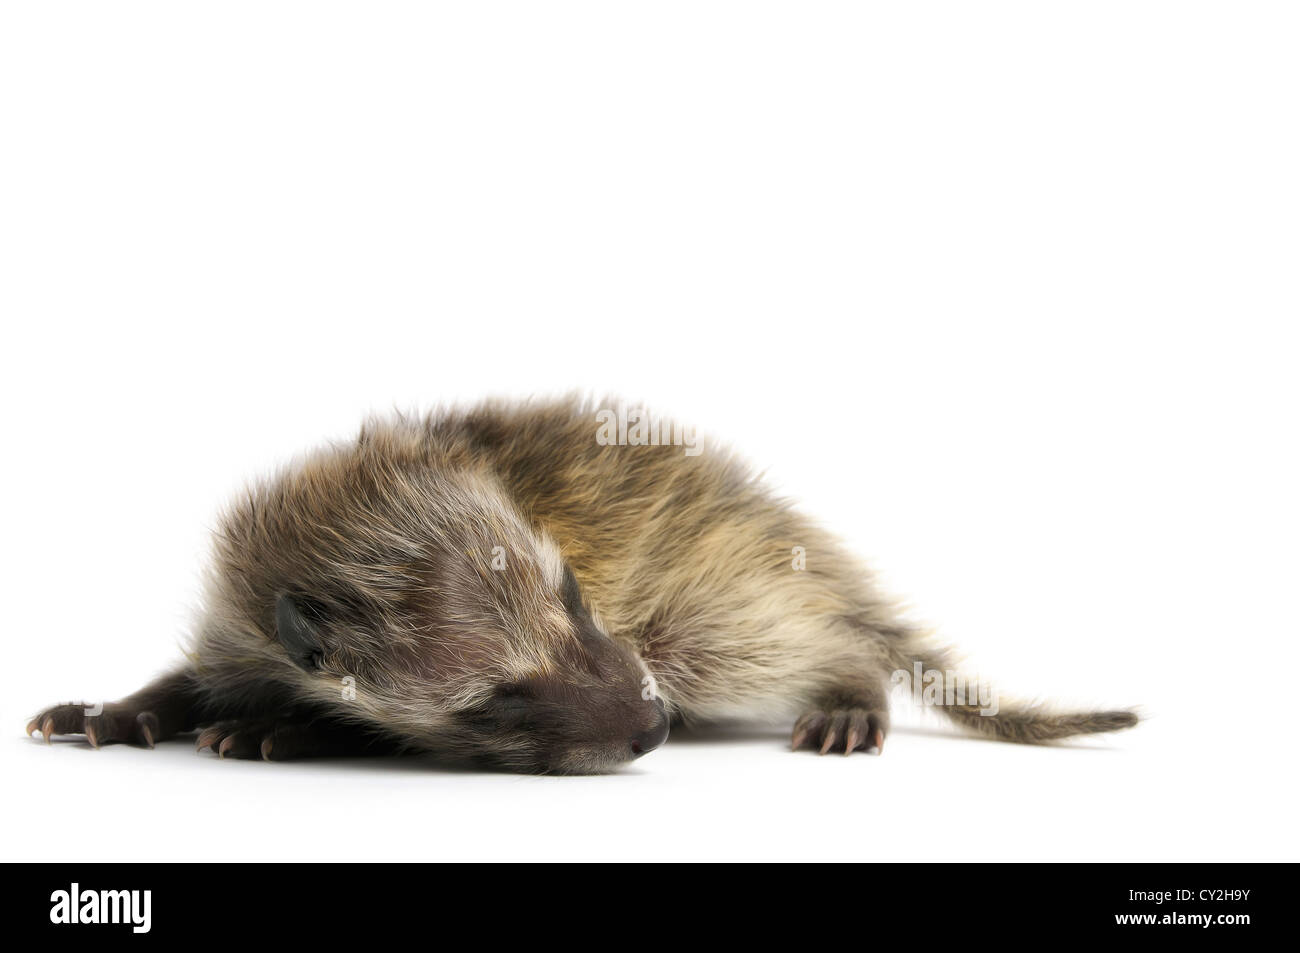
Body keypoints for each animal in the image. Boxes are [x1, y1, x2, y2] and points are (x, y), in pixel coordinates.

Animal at [25, 395, 1133, 774]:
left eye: (573, 598)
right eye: (500, 695)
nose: (649, 726)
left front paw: (292, 729)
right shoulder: (234, 623)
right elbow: (193, 674)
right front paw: (123, 704)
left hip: (709, 626)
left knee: (827, 640)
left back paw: (850, 688)